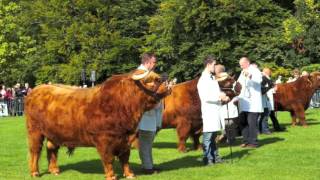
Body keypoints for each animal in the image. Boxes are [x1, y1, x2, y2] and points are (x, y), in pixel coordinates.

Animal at [24, 70, 171, 180]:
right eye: (149, 80)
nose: (168, 84)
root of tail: (36, 89)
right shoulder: (104, 139)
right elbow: (108, 159)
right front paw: (111, 176)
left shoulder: (126, 139)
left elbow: (125, 158)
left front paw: (129, 174)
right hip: (35, 131)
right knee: (35, 150)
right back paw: (35, 172)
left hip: (54, 133)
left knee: (52, 148)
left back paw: (54, 170)